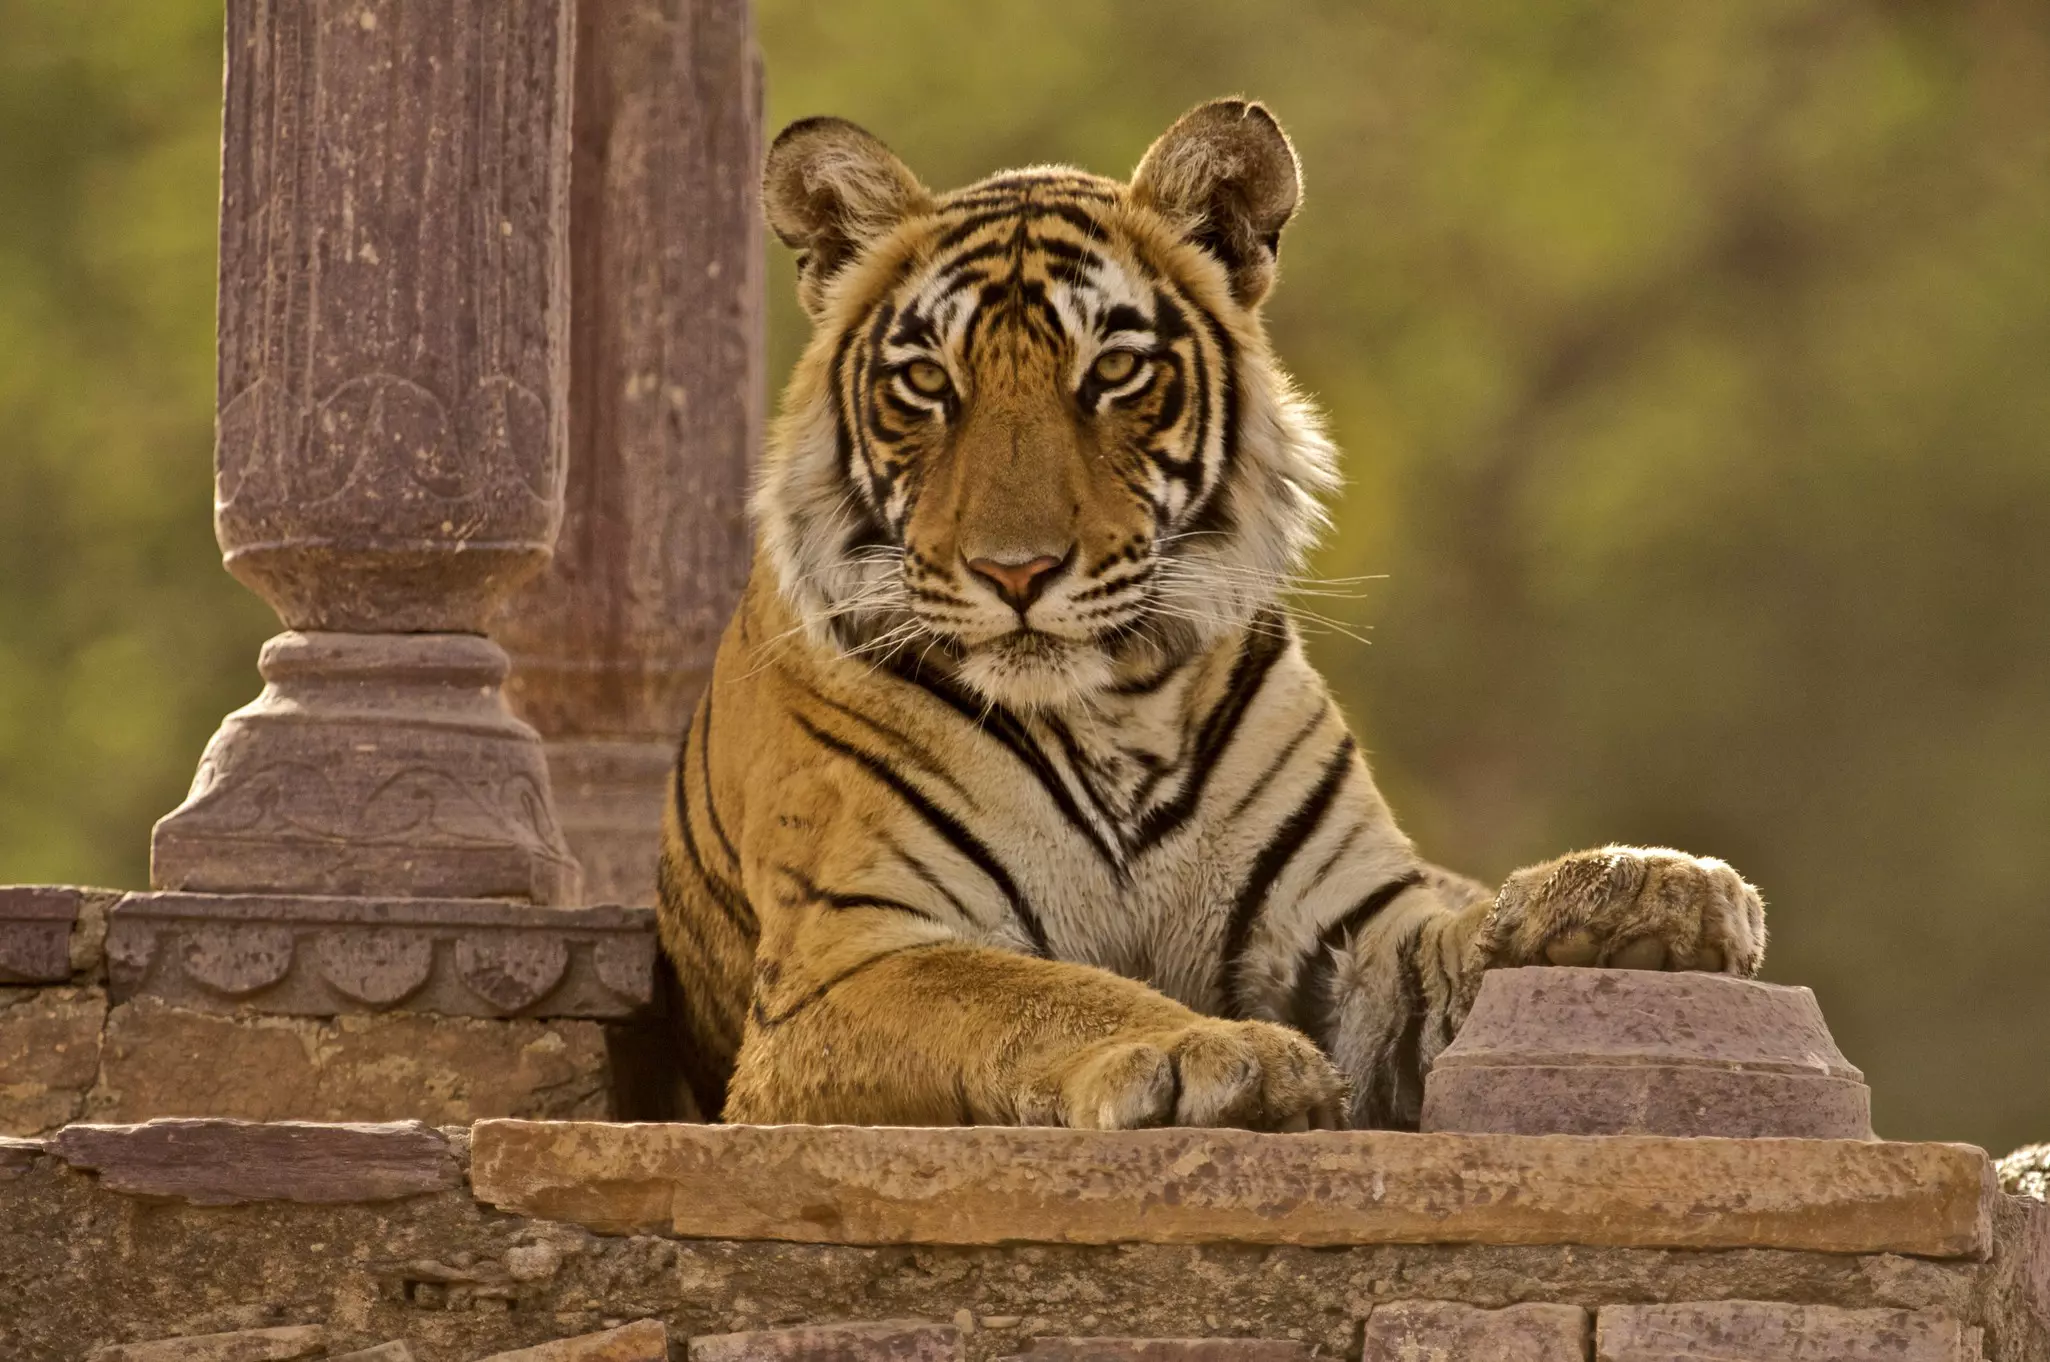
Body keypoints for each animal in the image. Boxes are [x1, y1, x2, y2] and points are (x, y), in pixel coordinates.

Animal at [655, 98, 1767, 1130]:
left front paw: (1650, 890)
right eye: (928, 382)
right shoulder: (853, 959)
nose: (1016, 571)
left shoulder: (1342, 933)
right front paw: (1212, 1053)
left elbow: (1450, 947)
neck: (1114, 715)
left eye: (1112, 372)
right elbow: (1033, 994)